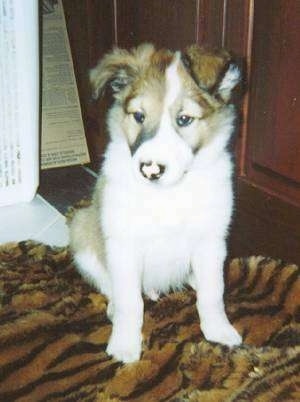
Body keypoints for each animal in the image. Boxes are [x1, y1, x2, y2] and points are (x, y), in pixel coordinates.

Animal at [69, 44, 241, 364]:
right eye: (139, 116)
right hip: (81, 227)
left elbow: (213, 293)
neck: (167, 195)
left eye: (184, 119)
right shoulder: (123, 243)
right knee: (109, 284)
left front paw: (219, 331)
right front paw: (125, 345)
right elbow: (130, 303)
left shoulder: (210, 240)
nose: (150, 169)